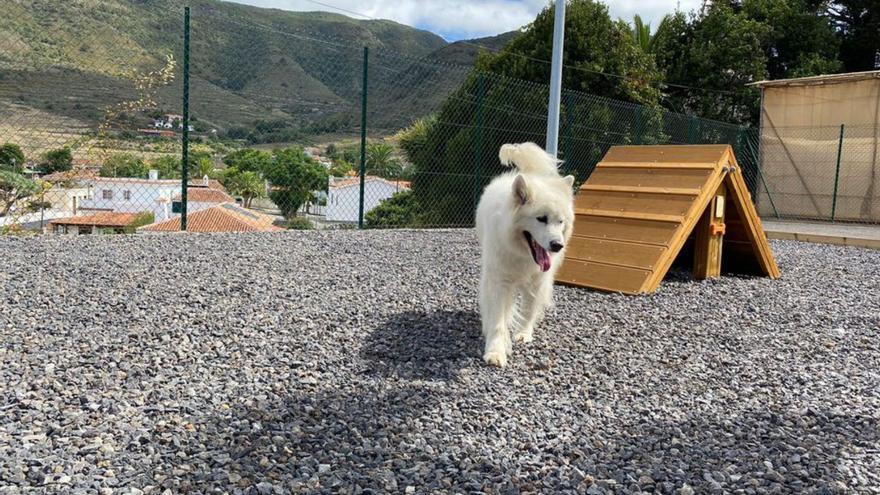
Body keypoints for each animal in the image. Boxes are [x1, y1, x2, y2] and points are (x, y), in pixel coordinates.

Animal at [474, 143, 576, 368]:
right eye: (541, 218)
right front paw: (496, 351)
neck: (522, 254)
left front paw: (523, 334)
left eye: (560, 221)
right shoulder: (499, 281)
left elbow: (529, 310)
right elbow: (498, 320)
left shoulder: (537, 280)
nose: (557, 245)